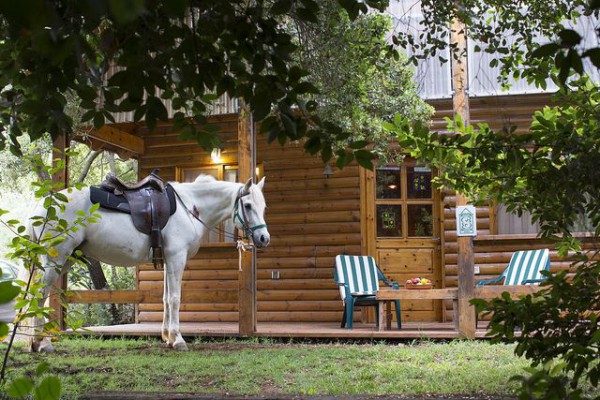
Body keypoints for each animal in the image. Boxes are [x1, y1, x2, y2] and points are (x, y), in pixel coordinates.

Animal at [27, 174, 270, 350]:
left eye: (264, 206)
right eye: (248, 205)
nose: (263, 238)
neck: (190, 207)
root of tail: (41, 206)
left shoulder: (167, 261)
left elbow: (165, 299)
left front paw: (167, 337)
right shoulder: (176, 258)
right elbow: (175, 299)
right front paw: (178, 339)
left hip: (65, 259)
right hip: (56, 259)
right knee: (39, 294)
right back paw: (42, 343)